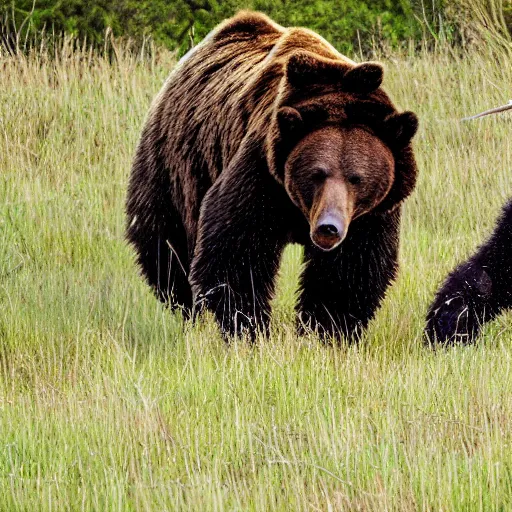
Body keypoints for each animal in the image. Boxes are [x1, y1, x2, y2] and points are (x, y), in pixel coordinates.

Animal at [126, 11, 418, 340]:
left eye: (357, 178)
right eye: (318, 173)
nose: (328, 228)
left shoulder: (370, 215)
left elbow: (349, 270)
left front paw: (326, 329)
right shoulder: (261, 173)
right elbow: (236, 253)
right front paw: (248, 326)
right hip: (176, 165)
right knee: (165, 244)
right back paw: (184, 304)